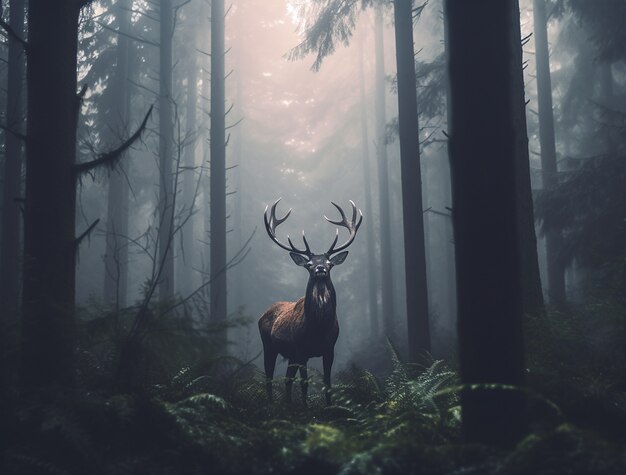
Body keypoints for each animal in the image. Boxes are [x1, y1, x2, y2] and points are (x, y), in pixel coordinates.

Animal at [258, 198, 360, 406]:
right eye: (309, 264)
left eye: (330, 264)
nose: (320, 269)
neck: (318, 329)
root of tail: (262, 314)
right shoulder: (301, 349)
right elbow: (304, 384)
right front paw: (305, 408)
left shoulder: (329, 349)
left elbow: (328, 382)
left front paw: (330, 408)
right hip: (269, 346)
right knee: (270, 377)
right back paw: (272, 405)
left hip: (290, 355)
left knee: (287, 379)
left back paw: (288, 406)